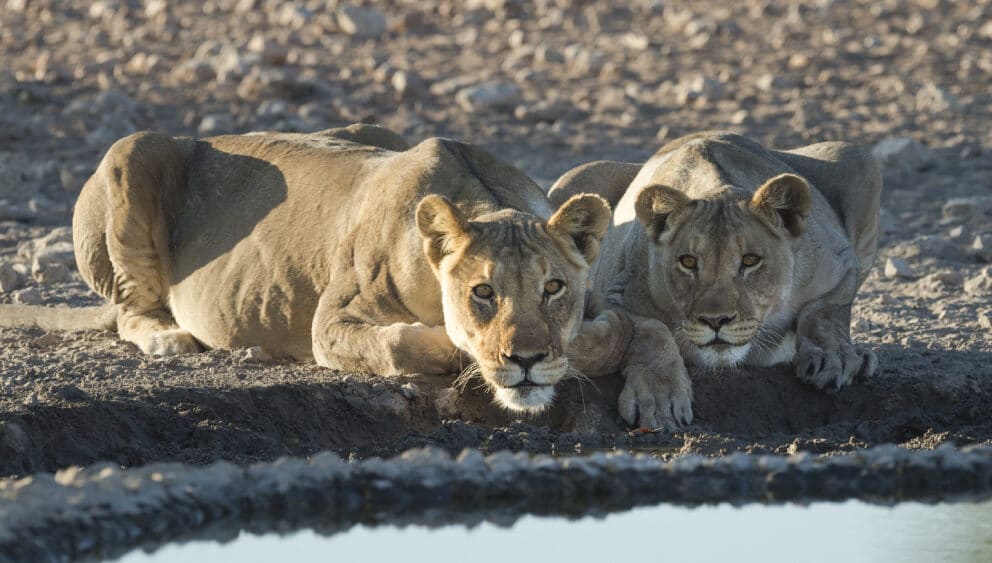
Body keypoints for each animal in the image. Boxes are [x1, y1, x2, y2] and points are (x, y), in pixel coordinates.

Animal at [1, 125, 690, 427]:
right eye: (482, 293)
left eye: (553, 288)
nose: (523, 361)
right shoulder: (329, 323)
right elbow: (398, 342)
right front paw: (459, 352)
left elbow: (640, 326)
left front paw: (661, 395)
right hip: (134, 150)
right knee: (128, 310)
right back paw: (169, 336)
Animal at [549, 131, 881, 390]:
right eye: (688, 262)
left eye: (750, 260)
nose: (716, 321)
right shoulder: (609, 293)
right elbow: (650, 330)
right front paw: (660, 393)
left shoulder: (839, 262)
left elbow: (826, 311)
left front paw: (834, 358)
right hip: (575, 176)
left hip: (856, 155)